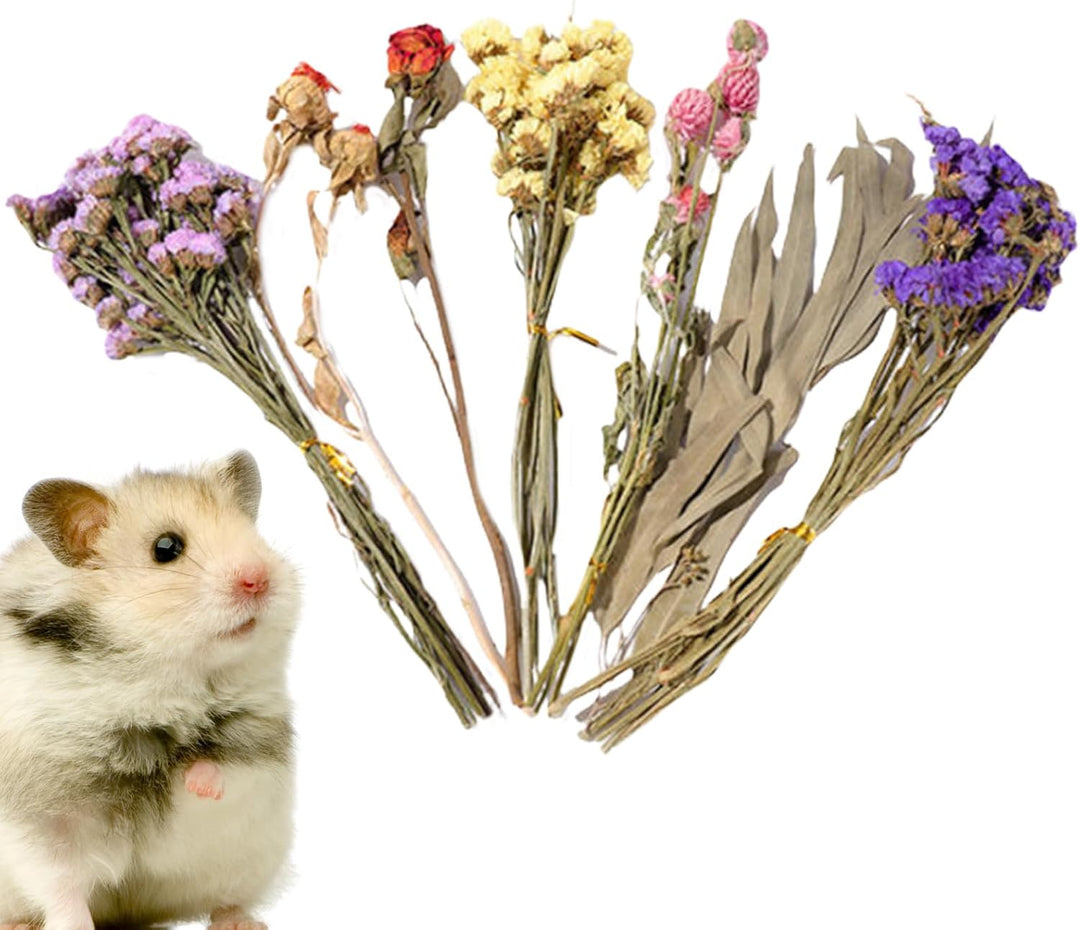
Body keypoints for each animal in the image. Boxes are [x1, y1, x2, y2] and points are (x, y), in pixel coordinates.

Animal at [0, 452, 298, 930]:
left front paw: (195, 779)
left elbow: (224, 768)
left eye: (253, 533)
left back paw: (242, 922)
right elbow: (61, 887)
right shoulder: (44, 818)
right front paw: (75, 925)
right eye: (166, 548)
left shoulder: (259, 745)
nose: (259, 578)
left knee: (228, 897)